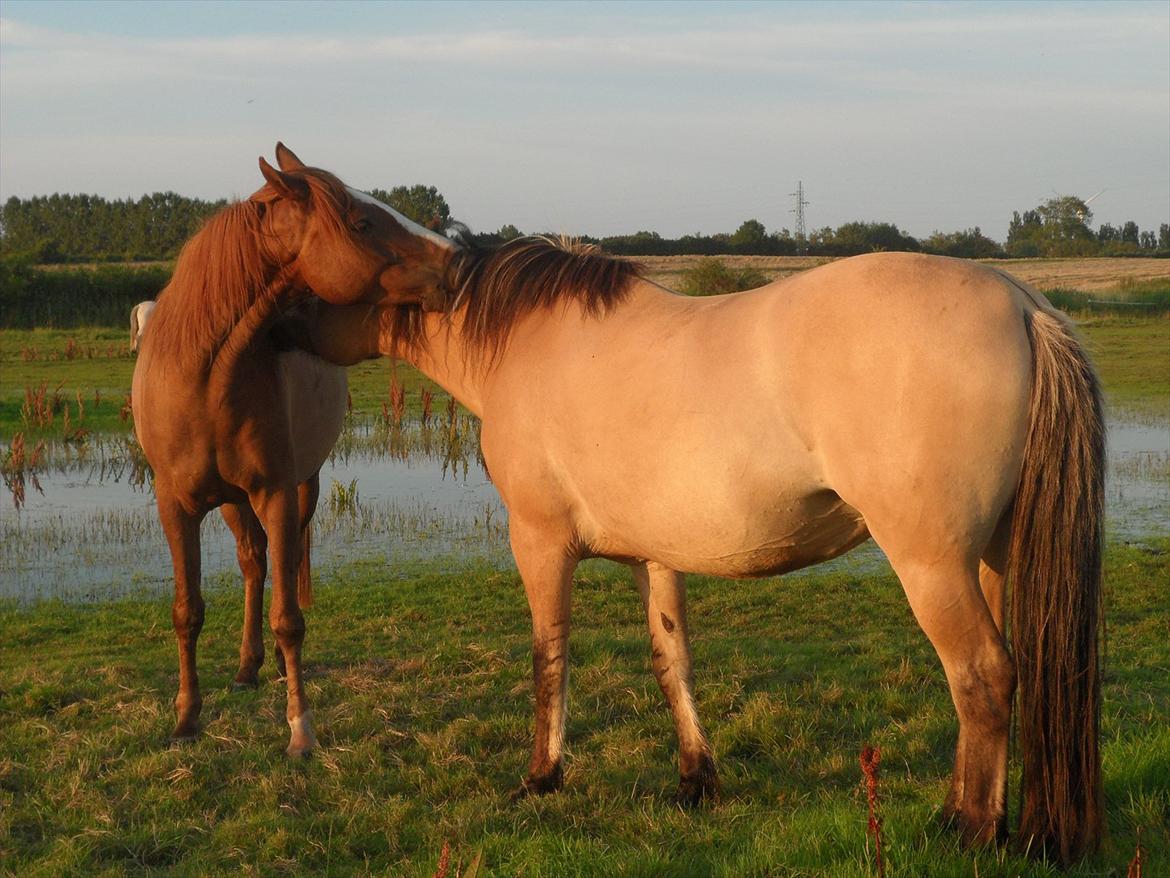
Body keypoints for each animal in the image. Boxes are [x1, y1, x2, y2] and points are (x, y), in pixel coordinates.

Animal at [132, 142, 451, 758]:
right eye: (361, 222)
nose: (456, 257)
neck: (203, 376)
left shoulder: (276, 494)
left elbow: (289, 617)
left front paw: (300, 730)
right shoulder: (175, 505)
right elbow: (187, 611)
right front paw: (185, 719)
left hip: (299, 489)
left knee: (275, 570)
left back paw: (273, 668)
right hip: (232, 501)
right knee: (252, 563)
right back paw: (246, 668)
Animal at [308, 237, 1095, 861]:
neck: (529, 343)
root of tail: (1023, 304)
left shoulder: (538, 542)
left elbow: (549, 659)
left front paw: (541, 777)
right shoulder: (657, 557)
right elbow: (671, 661)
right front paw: (695, 780)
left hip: (932, 564)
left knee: (981, 676)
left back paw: (969, 831)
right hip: (987, 559)